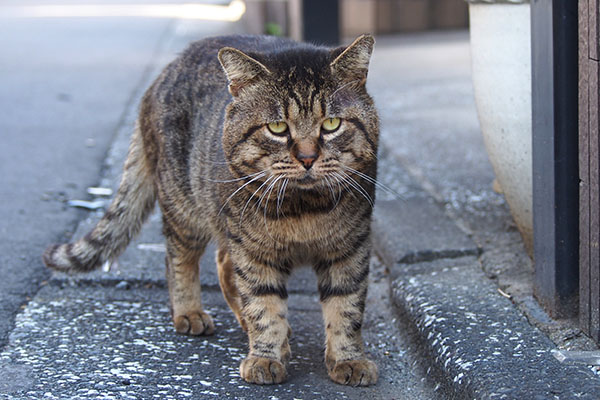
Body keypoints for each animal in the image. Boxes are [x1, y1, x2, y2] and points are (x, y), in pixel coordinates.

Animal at [43, 34, 380, 388]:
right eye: (277, 127)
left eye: (331, 124)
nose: (307, 157)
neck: (303, 207)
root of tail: (165, 72)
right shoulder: (253, 252)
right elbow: (263, 305)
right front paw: (265, 356)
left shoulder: (350, 249)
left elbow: (345, 308)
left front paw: (348, 360)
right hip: (186, 210)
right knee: (179, 260)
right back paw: (190, 313)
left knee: (222, 265)